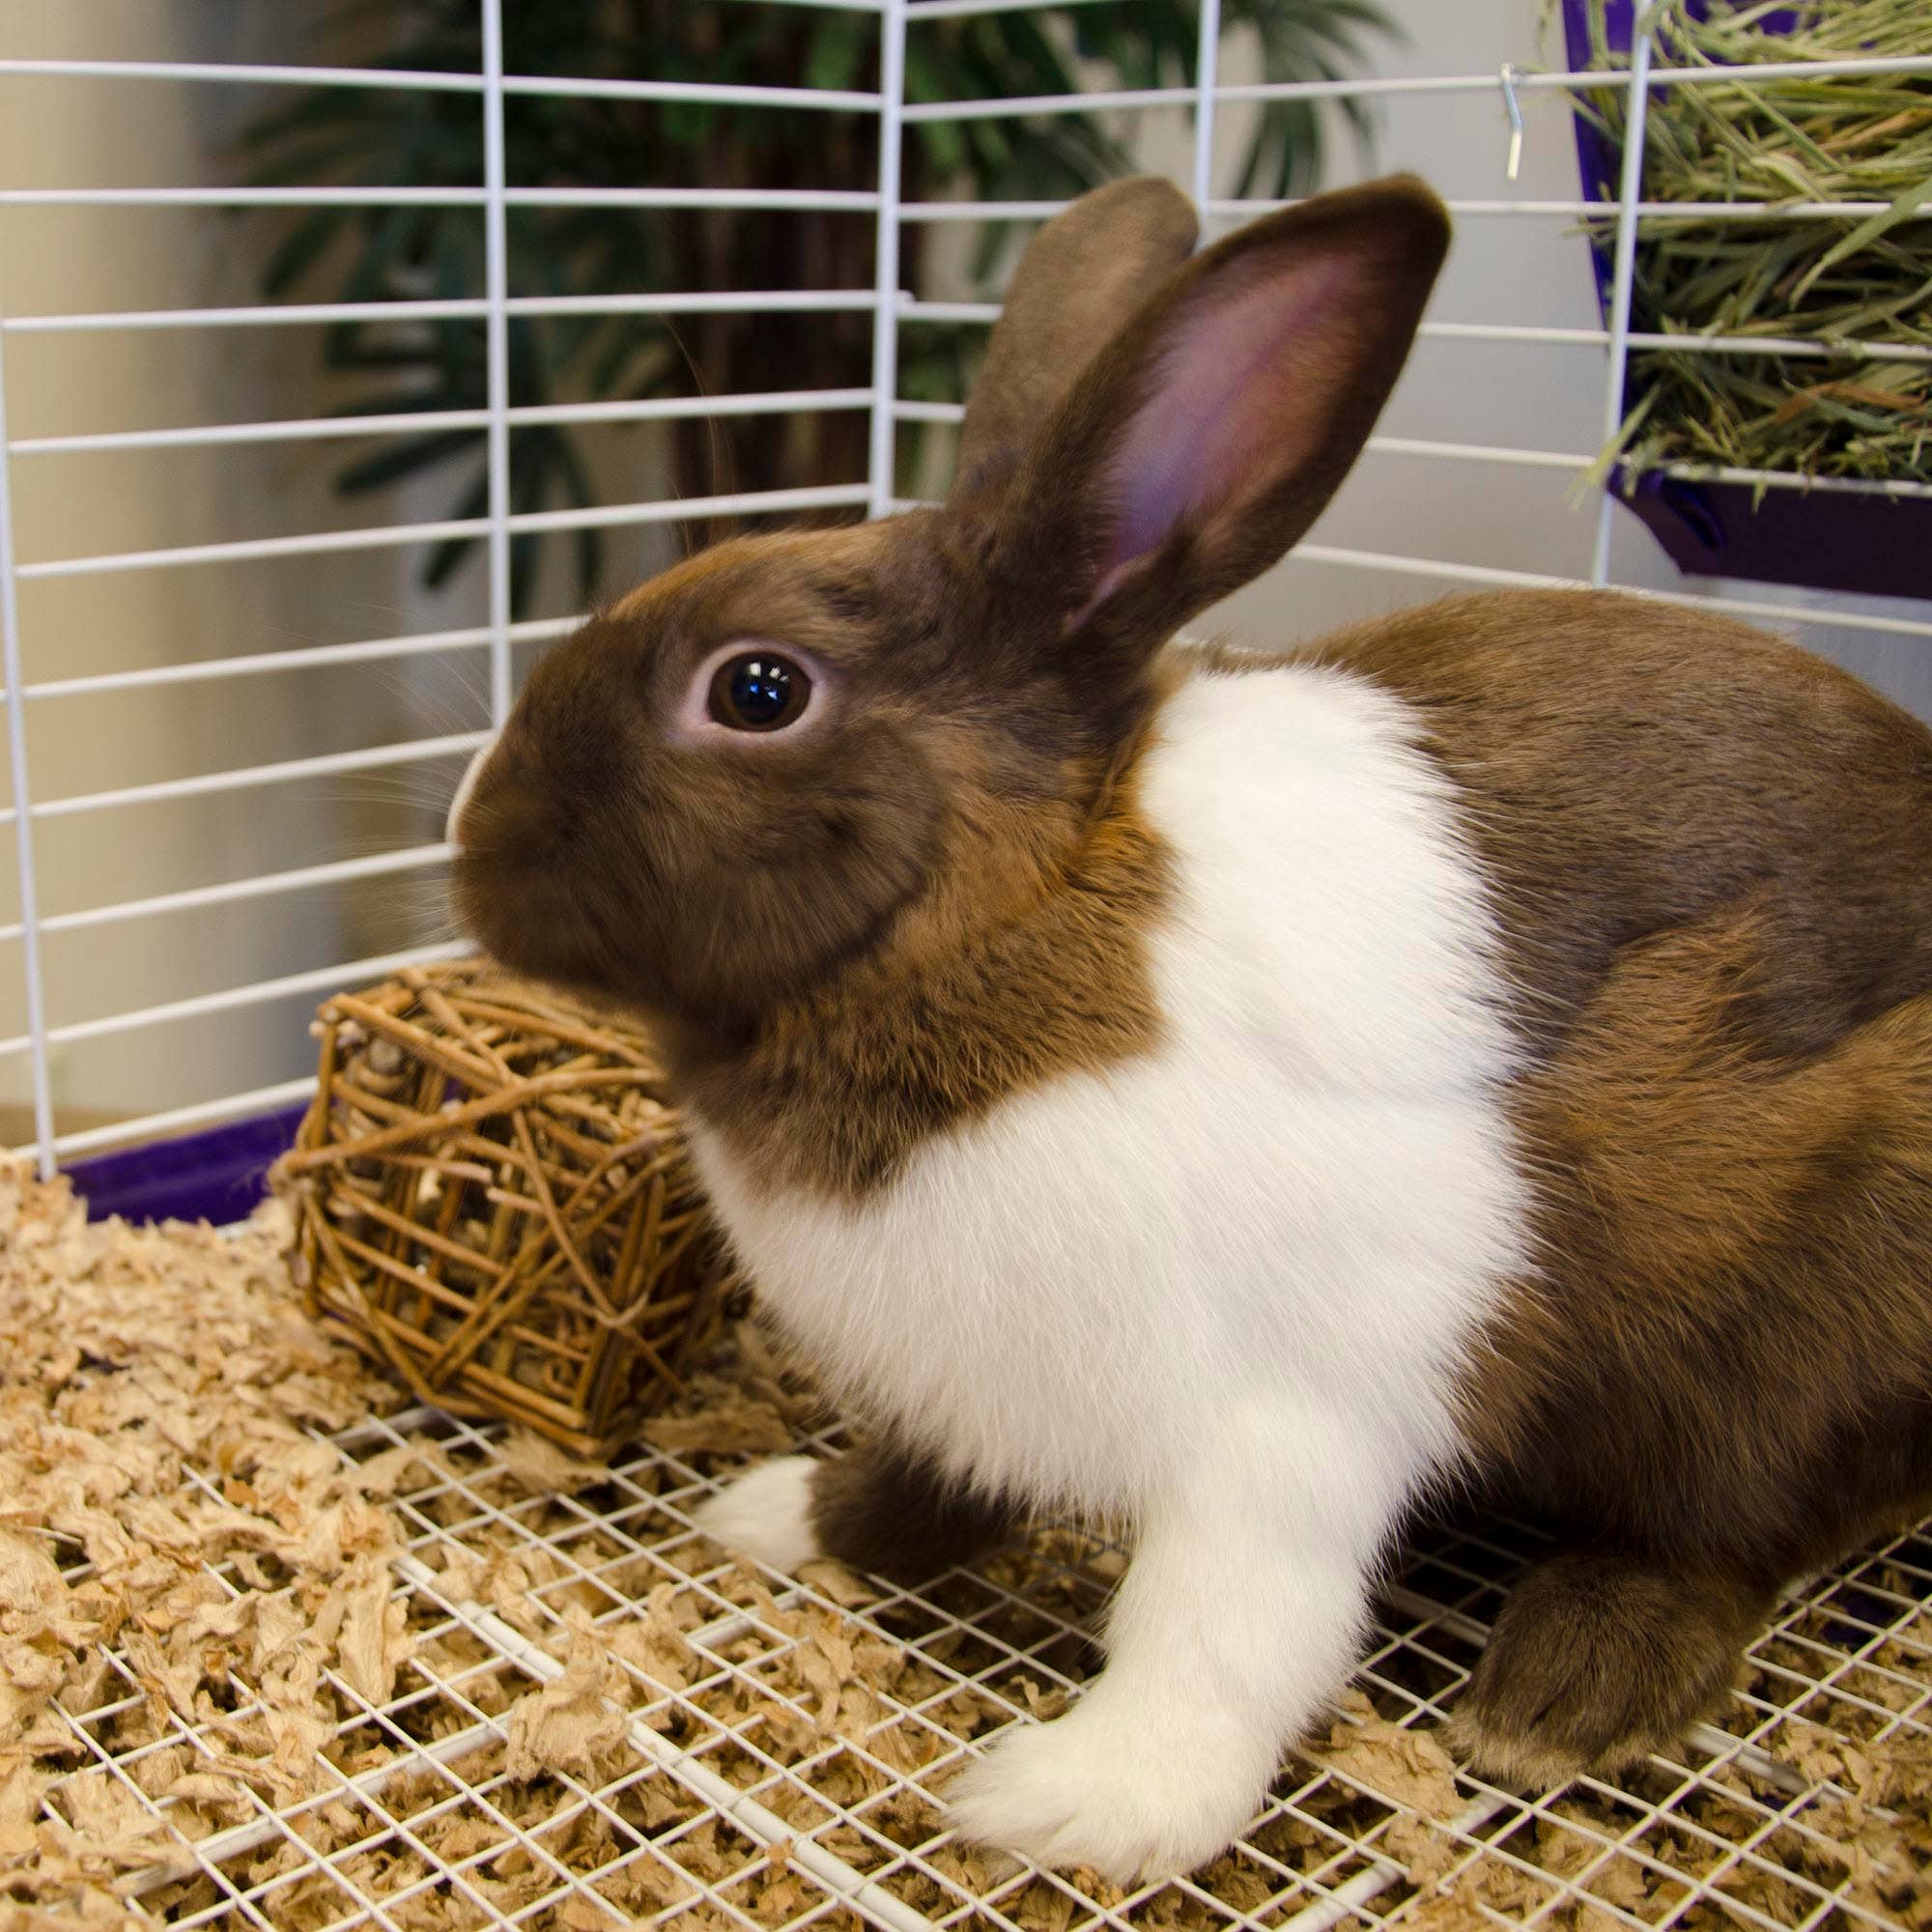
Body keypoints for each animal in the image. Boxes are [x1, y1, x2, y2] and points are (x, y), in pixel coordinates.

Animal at [447, 172, 1932, 1884]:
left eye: (757, 691)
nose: (468, 848)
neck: (1016, 927)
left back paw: (1564, 1693)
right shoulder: (967, 1391)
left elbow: (1218, 1632)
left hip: (1800, 1320)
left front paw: (1079, 1800)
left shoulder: (1291, 1422)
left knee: (1751, 1525)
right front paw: (780, 1520)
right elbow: (918, 1500)